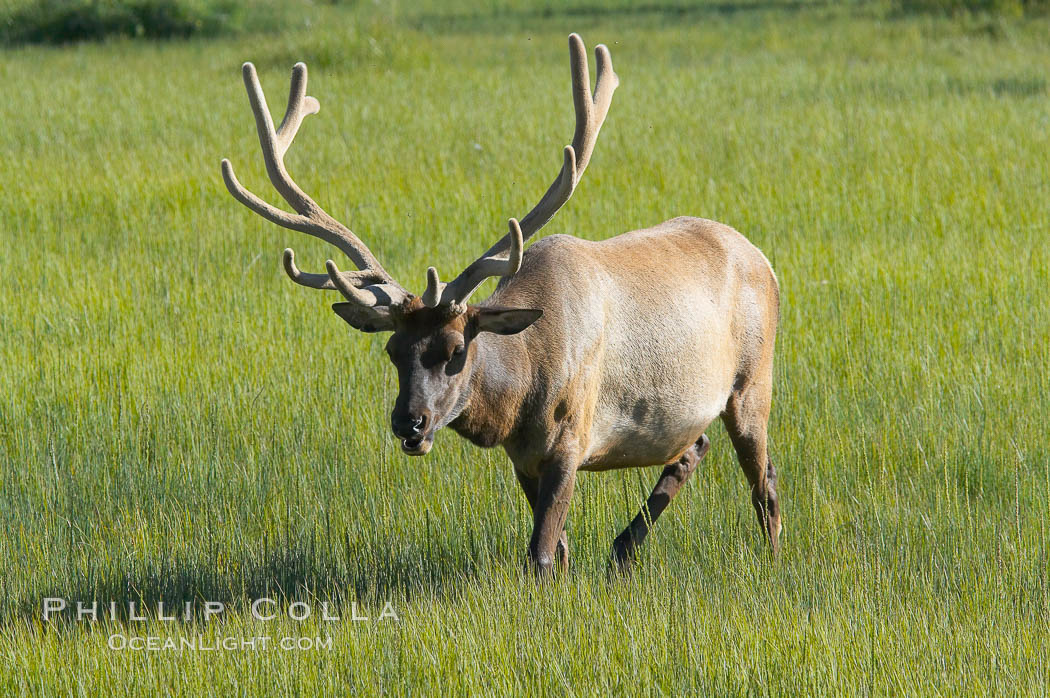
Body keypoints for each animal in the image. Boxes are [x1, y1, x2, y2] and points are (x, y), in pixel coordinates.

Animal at [219, 35, 781, 575]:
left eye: (455, 350)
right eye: (393, 351)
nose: (409, 422)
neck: (521, 394)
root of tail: (764, 261)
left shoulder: (571, 438)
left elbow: (540, 554)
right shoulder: (523, 457)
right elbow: (560, 549)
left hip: (753, 381)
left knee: (765, 480)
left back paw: (772, 560)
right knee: (694, 447)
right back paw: (622, 549)